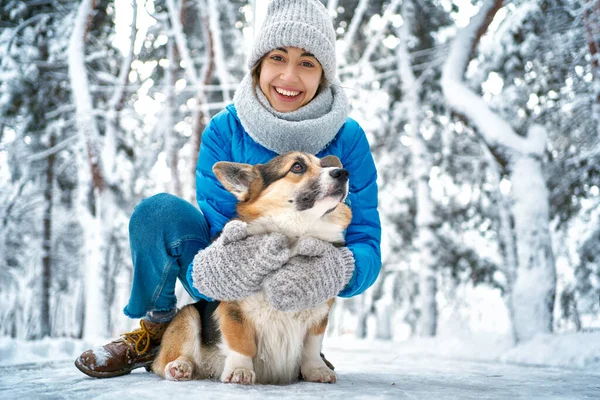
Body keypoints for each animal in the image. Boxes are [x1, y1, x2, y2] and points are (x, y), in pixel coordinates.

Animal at [151, 151, 352, 384]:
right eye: (297, 166)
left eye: (324, 165)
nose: (343, 173)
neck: (295, 234)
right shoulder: (234, 311)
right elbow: (242, 343)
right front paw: (240, 370)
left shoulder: (318, 315)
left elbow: (311, 347)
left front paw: (317, 370)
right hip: (188, 316)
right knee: (166, 360)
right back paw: (180, 366)